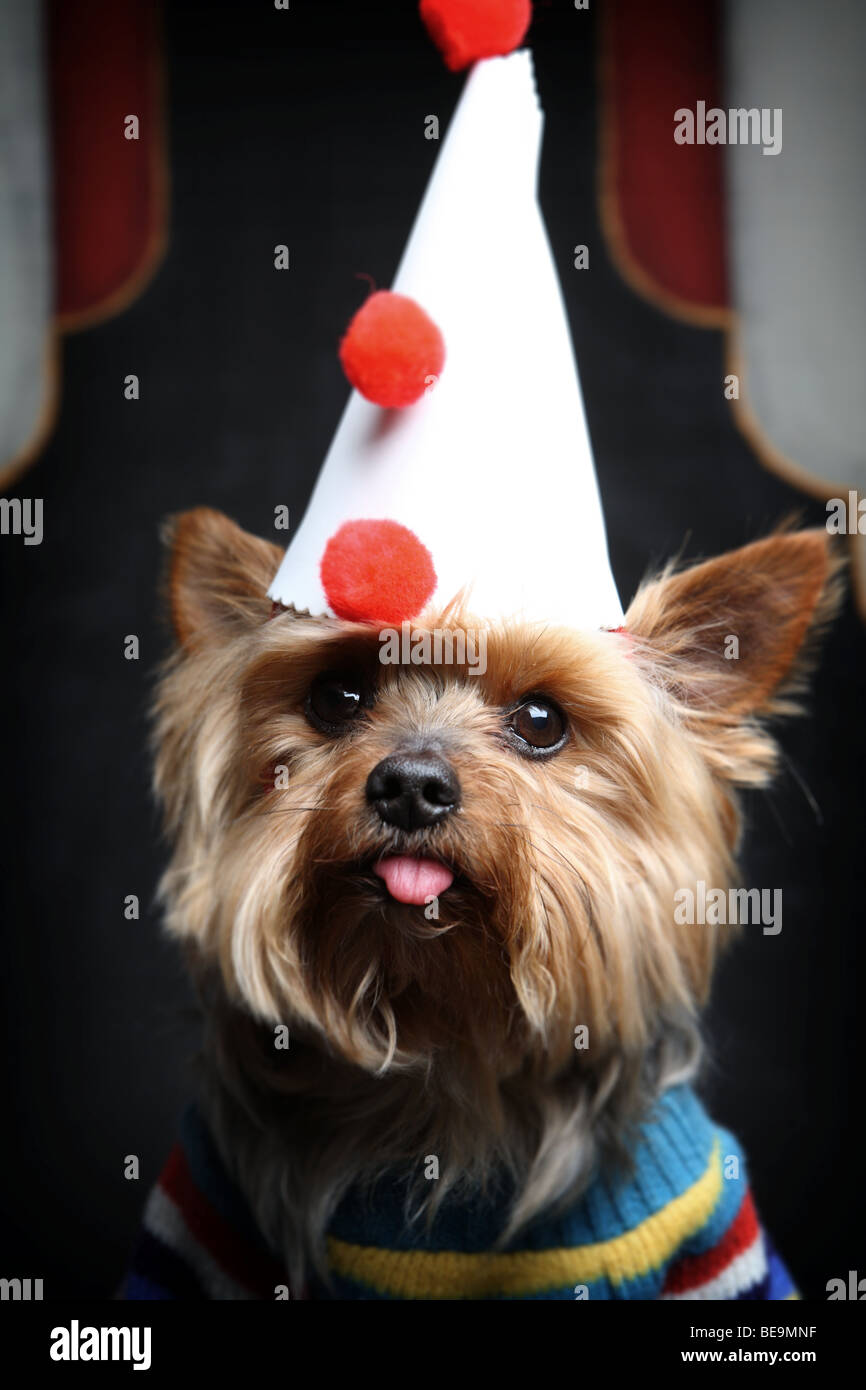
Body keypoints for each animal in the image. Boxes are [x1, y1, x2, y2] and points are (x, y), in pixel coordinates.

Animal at [128, 511, 839, 1301]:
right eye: (336, 696)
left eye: (541, 720)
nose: (411, 784)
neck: (447, 1046)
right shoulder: (204, 1216)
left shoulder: (710, 1245)